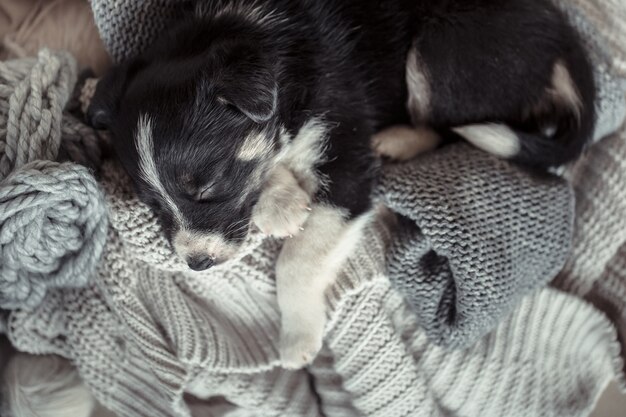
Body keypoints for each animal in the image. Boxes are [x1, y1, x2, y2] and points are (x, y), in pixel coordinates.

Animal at [86, 0, 588, 366]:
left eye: (208, 187)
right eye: (152, 204)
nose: (197, 264)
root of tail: (563, 42)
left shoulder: (349, 167)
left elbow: (296, 261)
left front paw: (297, 339)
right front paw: (281, 202)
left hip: (441, 51)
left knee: (451, 126)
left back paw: (399, 140)